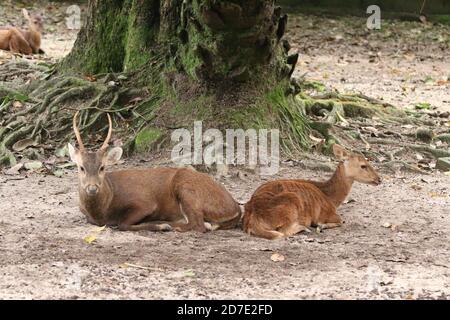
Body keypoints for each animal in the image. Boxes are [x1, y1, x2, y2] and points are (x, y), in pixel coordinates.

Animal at [244, 145, 382, 240]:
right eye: (363, 166)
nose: (379, 179)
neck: (331, 198)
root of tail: (253, 218)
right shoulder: (326, 213)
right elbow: (340, 220)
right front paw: (321, 226)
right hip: (290, 202)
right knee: (282, 232)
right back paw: (304, 228)